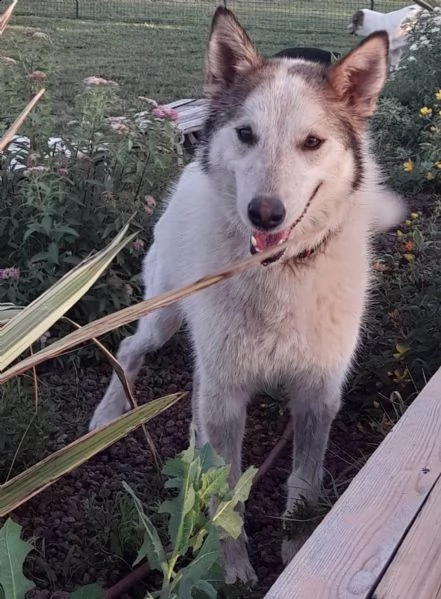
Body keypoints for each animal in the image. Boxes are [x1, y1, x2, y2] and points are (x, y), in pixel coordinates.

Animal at [90, 4, 406, 584]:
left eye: (312, 142)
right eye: (245, 134)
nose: (265, 214)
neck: (280, 278)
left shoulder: (317, 395)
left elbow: (304, 485)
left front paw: (297, 543)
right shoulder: (226, 397)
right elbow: (223, 497)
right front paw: (231, 565)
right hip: (164, 318)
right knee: (128, 347)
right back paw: (108, 415)